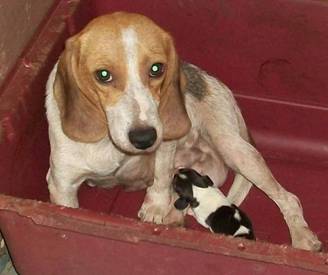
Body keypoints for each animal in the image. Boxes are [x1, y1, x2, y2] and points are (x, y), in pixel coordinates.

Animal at [44, 11, 322, 252]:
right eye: (103, 75)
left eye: (157, 68)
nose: (145, 138)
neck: (108, 142)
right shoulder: (62, 186)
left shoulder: (166, 142)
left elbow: (161, 173)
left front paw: (154, 206)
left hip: (234, 149)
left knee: (289, 198)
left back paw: (302, 238)